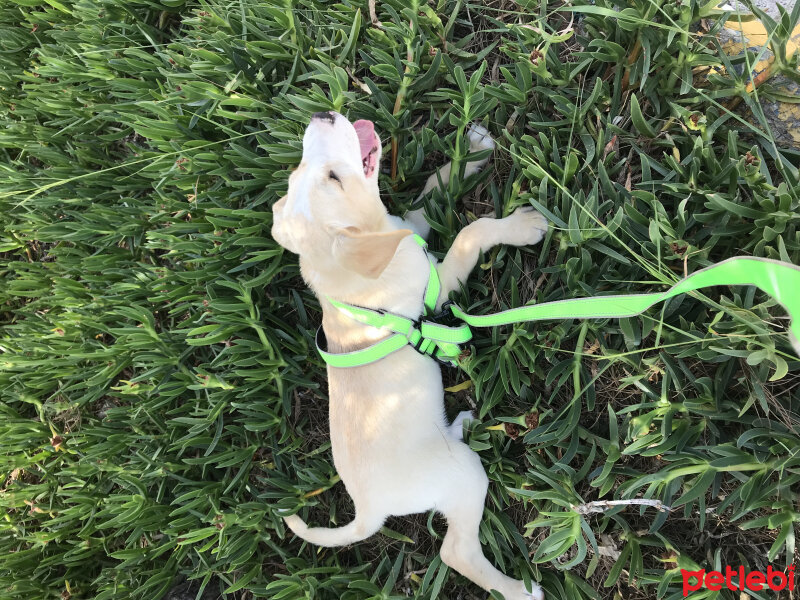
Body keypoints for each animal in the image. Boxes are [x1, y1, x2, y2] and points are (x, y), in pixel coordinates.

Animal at [272, 112, 548, 600]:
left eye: (302, 173)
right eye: (335, 178)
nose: (323, 114)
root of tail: (368, 510)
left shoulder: (409, 227)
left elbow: (431, 190)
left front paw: (470, 150)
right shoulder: (439, 283)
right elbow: (470, 233)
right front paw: (519, 226)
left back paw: (461, 424)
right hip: (464, 475)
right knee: (456, 552)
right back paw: (520, 589)